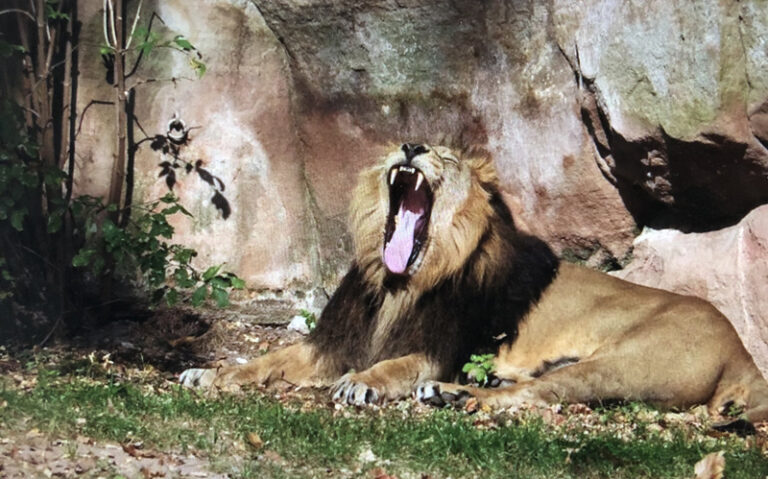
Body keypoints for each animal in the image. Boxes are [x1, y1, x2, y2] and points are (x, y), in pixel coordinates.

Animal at [180, 144, 768, 422]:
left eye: (445, 156)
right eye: (406, 142)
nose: (412, 146)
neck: (400, 286)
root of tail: (743, 353)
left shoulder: (442, 349)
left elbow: (396, 365)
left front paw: (362, 381)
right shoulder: (334, 341)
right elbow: (265, 360)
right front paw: (208, 373)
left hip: (626, 364)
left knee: (538, 395)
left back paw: (453, 396)